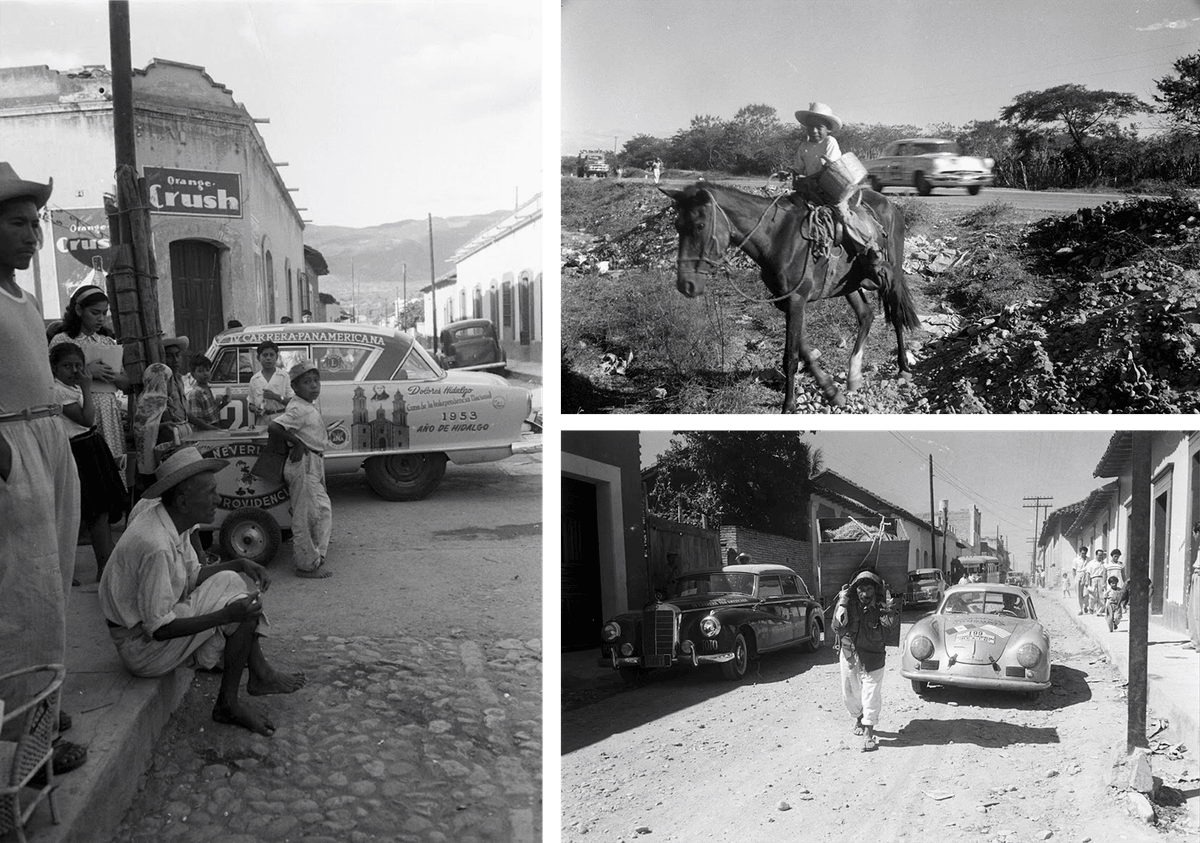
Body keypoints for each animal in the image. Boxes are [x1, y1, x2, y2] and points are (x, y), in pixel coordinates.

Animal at [662, 181, 921, 413]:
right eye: (677, 224)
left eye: (700, 225)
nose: (686, 285)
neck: (776, 237)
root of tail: (890, 204)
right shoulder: (787, 302)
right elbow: (803, 350)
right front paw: (832, 393)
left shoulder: (797, 300)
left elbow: (791, 357)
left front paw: (789, 406)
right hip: (850, 285)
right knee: (866, 315)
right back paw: (854, 375)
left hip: (892, 276)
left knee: (896, 315)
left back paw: (903, 367)